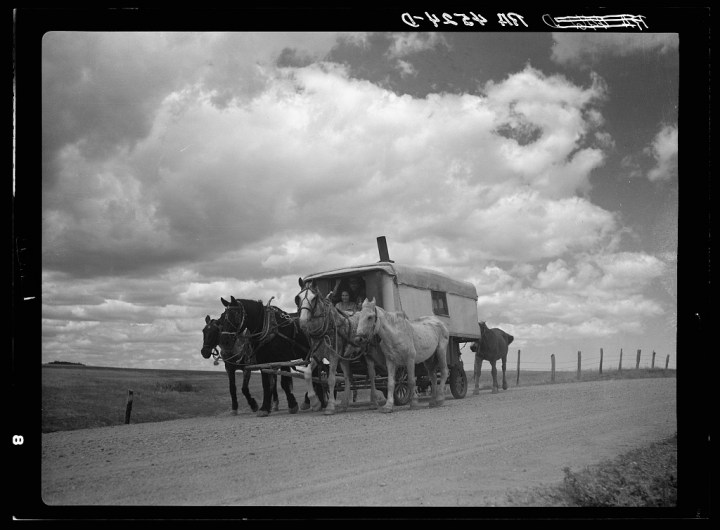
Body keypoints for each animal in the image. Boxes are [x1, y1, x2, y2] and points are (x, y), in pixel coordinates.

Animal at [296, 278, 386, 414]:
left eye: (314, 298)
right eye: (298, 298)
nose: (303, 321)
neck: (327, 327)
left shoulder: (333, 355)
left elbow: (331, 379)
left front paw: (330, 407)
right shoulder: (318, 355)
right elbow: (307, 373)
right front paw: (315, 403)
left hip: (367, 354)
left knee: (371, 374)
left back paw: (373, 402)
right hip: (345, 358)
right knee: (347, 377)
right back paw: (344, 404)